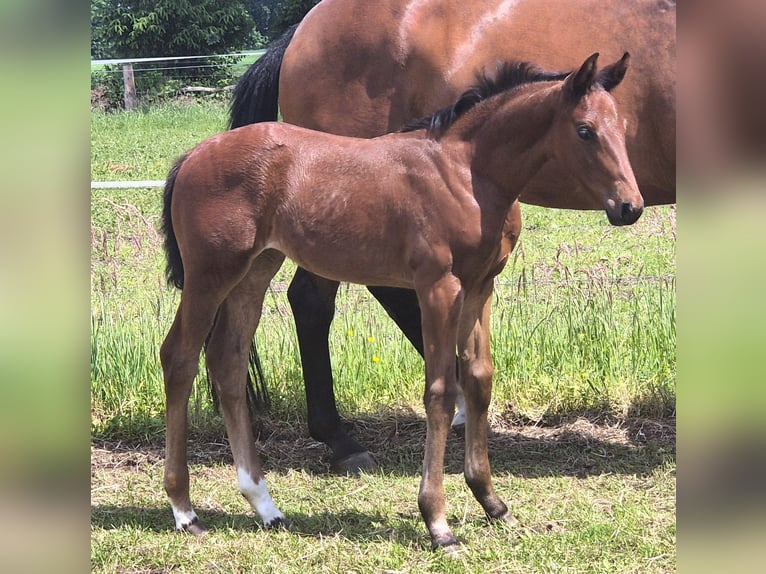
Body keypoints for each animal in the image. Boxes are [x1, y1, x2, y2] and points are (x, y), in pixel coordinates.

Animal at [160, 54, 640, 552]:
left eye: (622, 126)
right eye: (584, 130)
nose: (629, 206)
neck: (466, 174)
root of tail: (192, 155)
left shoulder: (481, 286)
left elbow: (479, 379)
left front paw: (492, 502)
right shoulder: (437, 287)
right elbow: (441, 391)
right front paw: (438, 522)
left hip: (255, 270)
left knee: (228, 363)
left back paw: (265, 505)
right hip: (210, 273)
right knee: (179, 358)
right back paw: (184, 510)